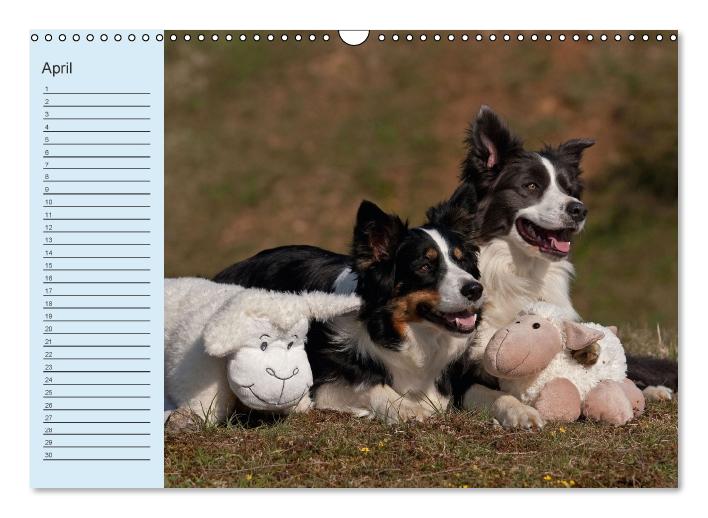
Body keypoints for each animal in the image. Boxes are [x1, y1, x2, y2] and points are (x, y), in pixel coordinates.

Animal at [213, 185, 484, 424]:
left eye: (462, 261)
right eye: (425, 266)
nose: (475, 289)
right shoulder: (324, 381)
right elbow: (371, 387)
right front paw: (406, 408)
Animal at [456, 106, 676, 430]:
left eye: (569, 189)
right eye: (531, 186)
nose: (579, 209)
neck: (520, 272)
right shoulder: (460, 374)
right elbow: (495, 393)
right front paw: (521, 411)